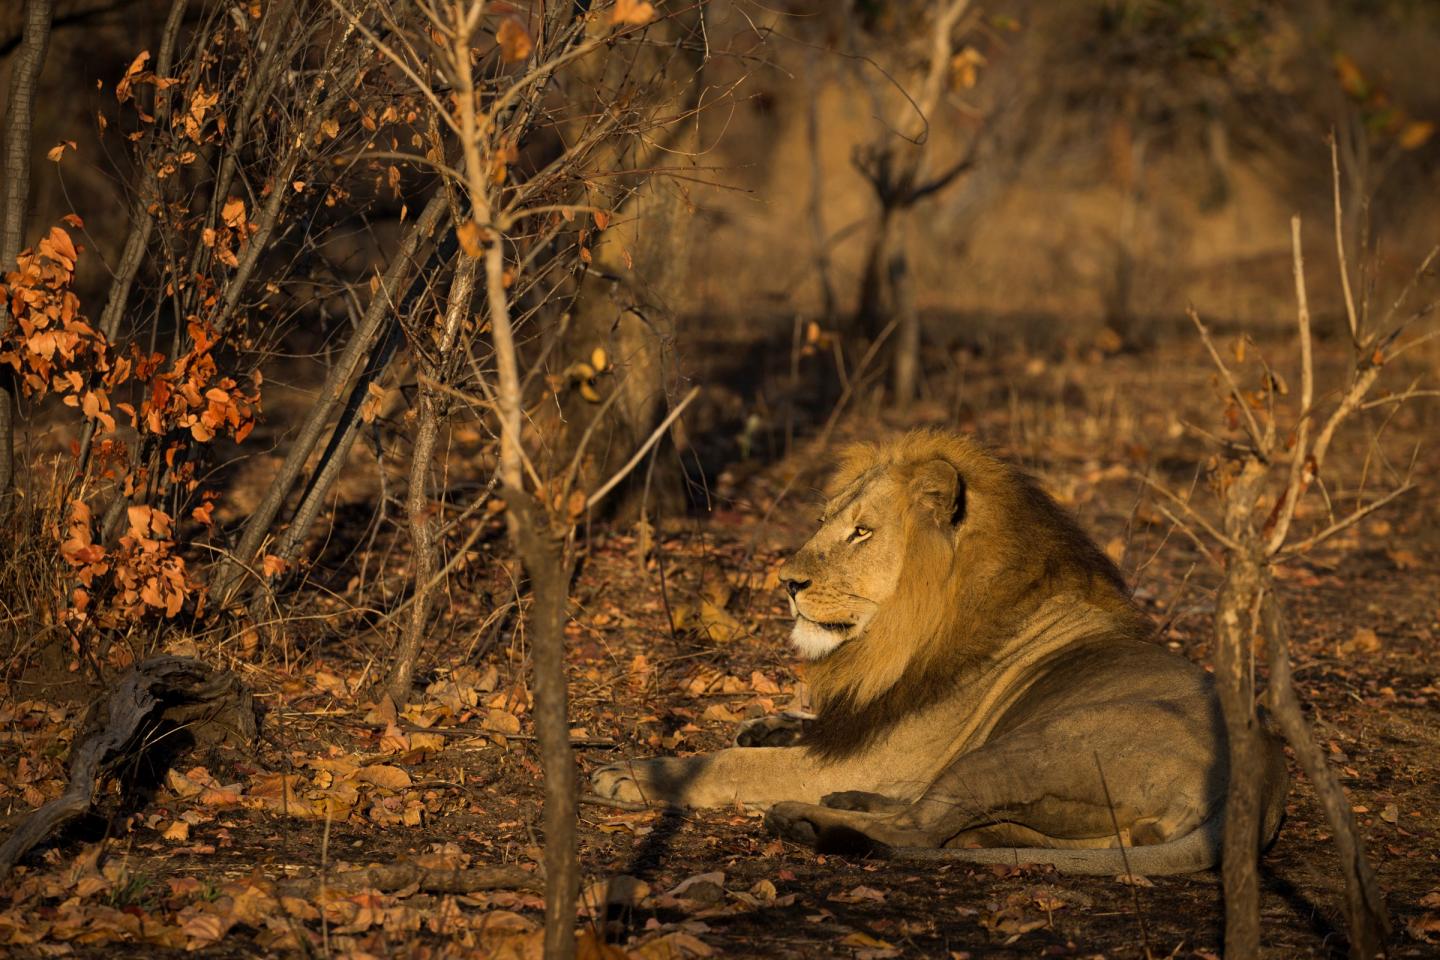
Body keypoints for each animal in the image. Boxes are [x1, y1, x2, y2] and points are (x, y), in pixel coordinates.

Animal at [591, 430, 1288, 874]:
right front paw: (767, 723)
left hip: (1028, 746)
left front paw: (636, 774)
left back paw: (808, 821)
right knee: (942, 824)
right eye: (823, 520)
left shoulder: (871, 758)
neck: (899, 636)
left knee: (920, 826)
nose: (786, 583)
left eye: (862, 532)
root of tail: (1264, 787)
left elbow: (732, 765)